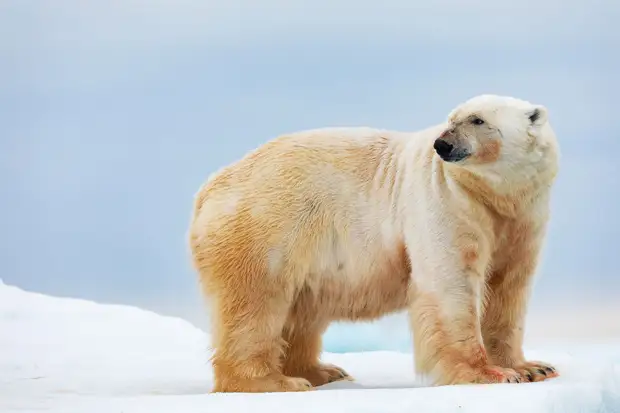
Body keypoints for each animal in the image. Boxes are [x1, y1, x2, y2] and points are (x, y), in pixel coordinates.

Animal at [188, 94, 556, 392]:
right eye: (451, 119)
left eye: (477, 120)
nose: (442, 145)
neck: (493, 197)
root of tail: (209, 188)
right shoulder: (446, 199)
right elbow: (451, 282)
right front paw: (489, 374)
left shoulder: (522, 219)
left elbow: (508, 289)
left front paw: (532, 368)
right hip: (266, 226)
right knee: (256, 303)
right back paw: (275, 381)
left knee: (301, 310)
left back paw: (322, 371)